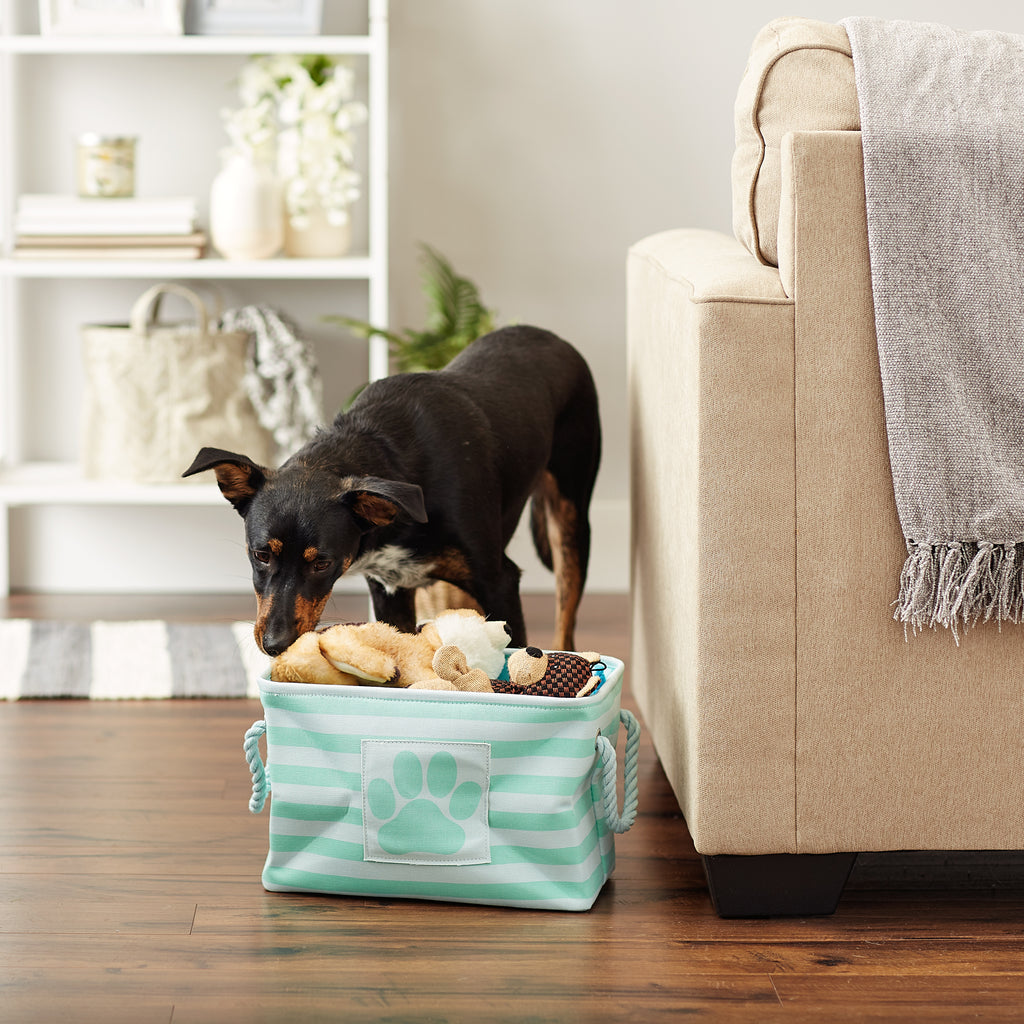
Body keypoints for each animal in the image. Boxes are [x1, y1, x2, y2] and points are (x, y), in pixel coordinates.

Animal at [183, 331, 598, 659]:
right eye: (260, 555)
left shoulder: (500, 582)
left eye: (322, 564)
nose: (274, 645)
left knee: (566, 615)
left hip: (570, 520)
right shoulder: (390, 592)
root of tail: (549, 336)